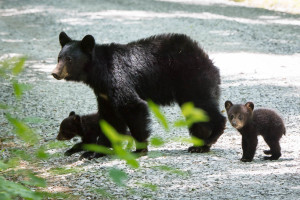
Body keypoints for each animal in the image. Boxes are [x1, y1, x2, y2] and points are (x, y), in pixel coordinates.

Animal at [52, 31, 225, 158]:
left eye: (69, 59)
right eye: (59, 57)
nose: (54, 73)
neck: (98, 73)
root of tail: (206, 58)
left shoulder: (117, 79)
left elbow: (133, 106)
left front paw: (139, 149)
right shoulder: (104, 92)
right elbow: (109, 118)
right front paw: (93, 152)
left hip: (193, 80)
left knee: (204, 106)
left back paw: (210, 138)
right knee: (196, 112)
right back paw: (199, 145)